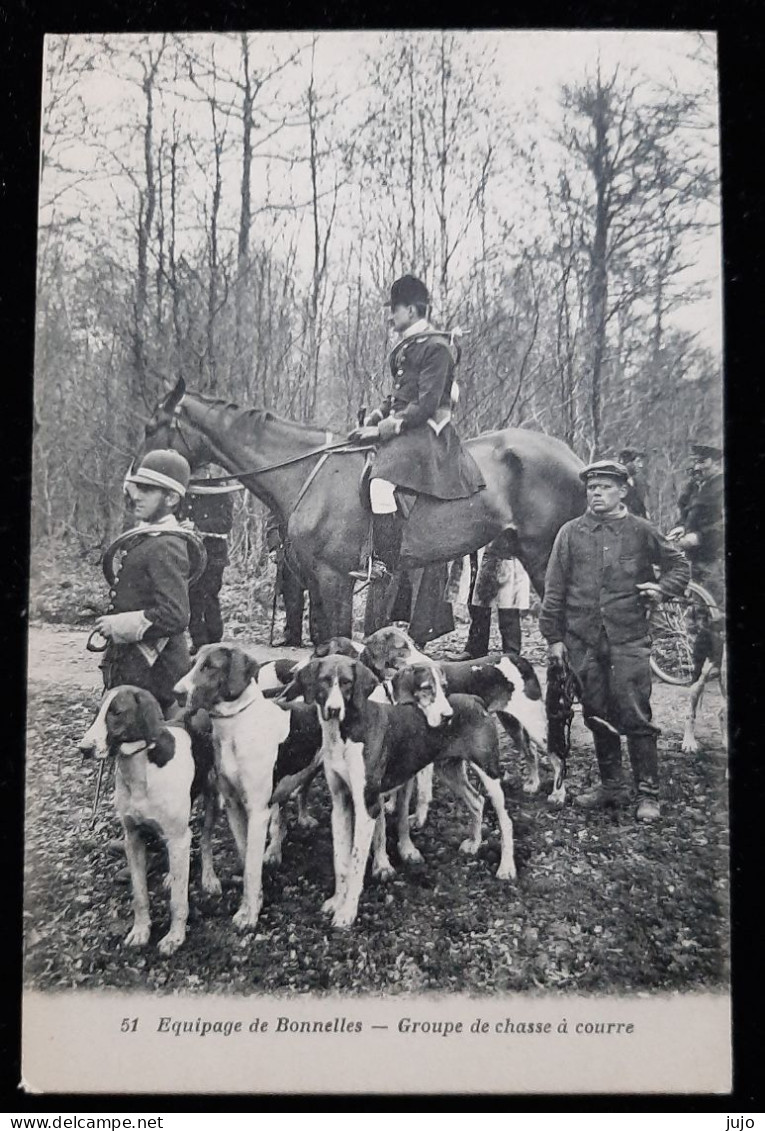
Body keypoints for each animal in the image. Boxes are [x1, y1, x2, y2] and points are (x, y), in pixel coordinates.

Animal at [134, 380, 583, 642]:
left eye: (152, 426)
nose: (133, 486)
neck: (308, 470)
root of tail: (575, 460)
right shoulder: (316, 580)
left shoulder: (336, 578)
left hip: (544, 559)